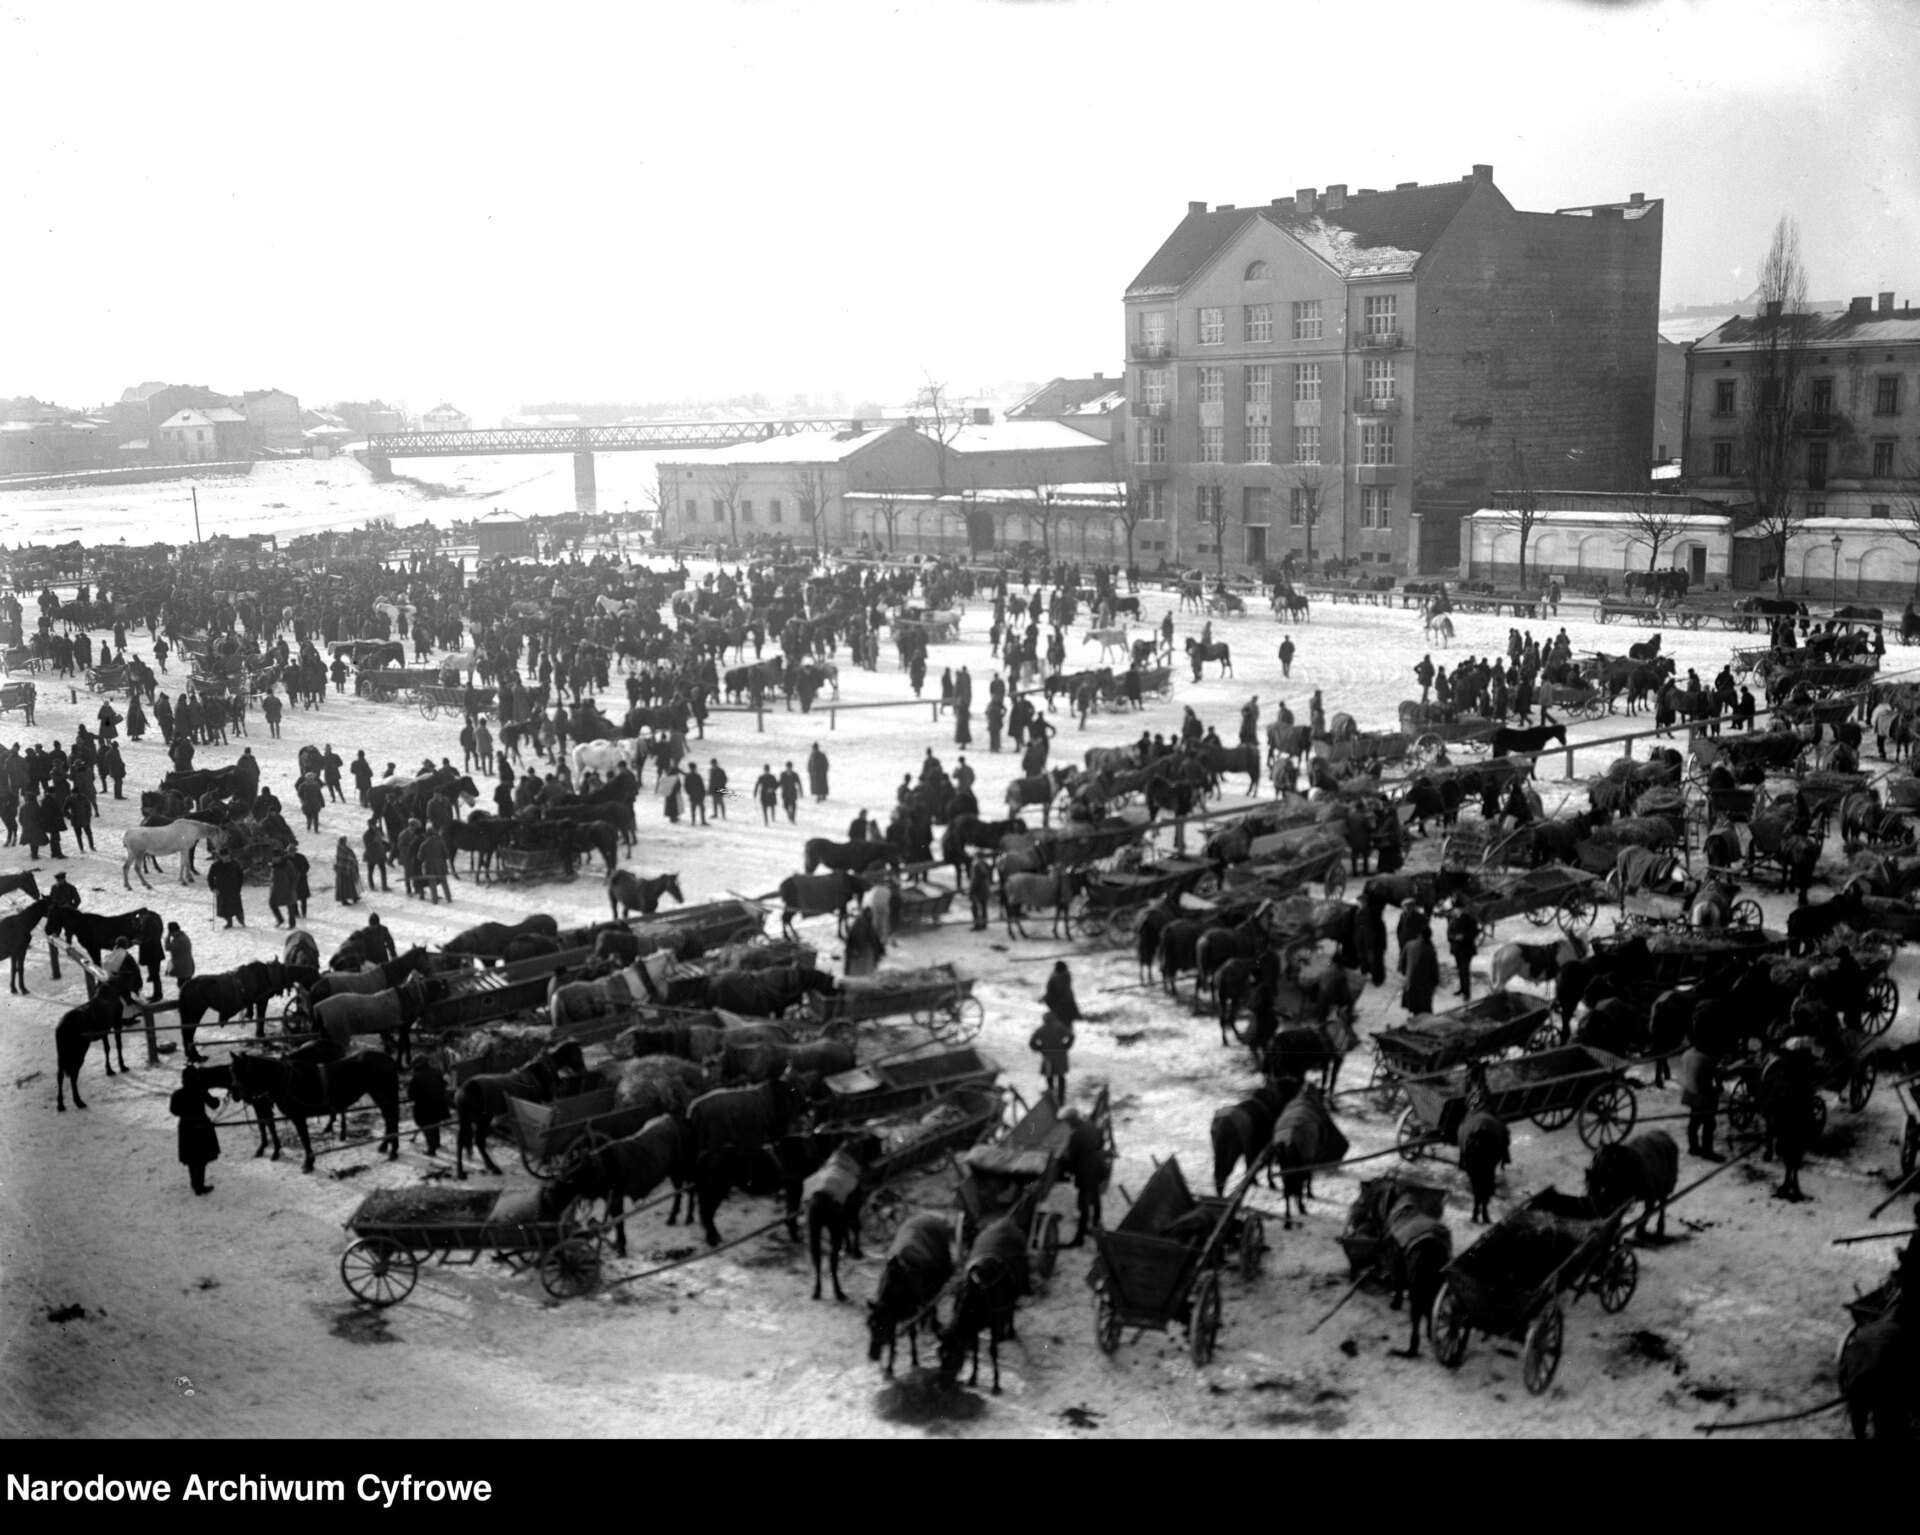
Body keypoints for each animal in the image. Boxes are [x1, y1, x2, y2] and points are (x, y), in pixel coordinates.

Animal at [228, 1045, 401, 1175]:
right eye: (231, 1071)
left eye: (244, 1072)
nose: (235, 1094)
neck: (287, 1081)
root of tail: (389, 1059)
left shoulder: (298, 1117)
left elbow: (305, 1140)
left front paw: (308, 1163)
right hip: (380, 1096)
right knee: (389, 1119)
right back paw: (385, 1146)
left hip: (383, 1095)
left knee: (391, 1118)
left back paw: (392, 1151)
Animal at [453, 1037, 587, 1183]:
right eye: (577, 1053)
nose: (584, 1070)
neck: (541, 1072)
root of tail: (463, 1089)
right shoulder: (539, 1105)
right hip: (480, 1119)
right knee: (470, 1141)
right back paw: (467, 1172)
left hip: (474, 1119)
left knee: (473, 1141)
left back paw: (487, 1168)